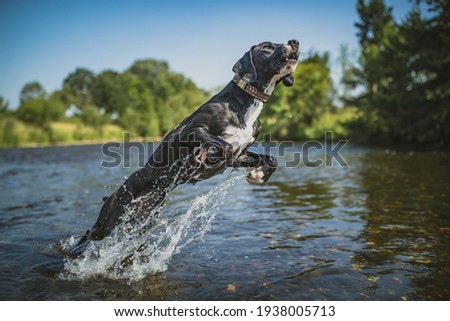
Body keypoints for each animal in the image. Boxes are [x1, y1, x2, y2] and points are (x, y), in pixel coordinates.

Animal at [73, 39, 298, 250]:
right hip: (109, 219)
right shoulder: (190, 131)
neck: (245, 103)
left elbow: (270, 159)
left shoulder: (240, 153)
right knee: (88, 234)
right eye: (267, 46)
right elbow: (223, 146)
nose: (295, 42)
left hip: (141, 224)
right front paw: (204, 157)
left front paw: (258, 175)